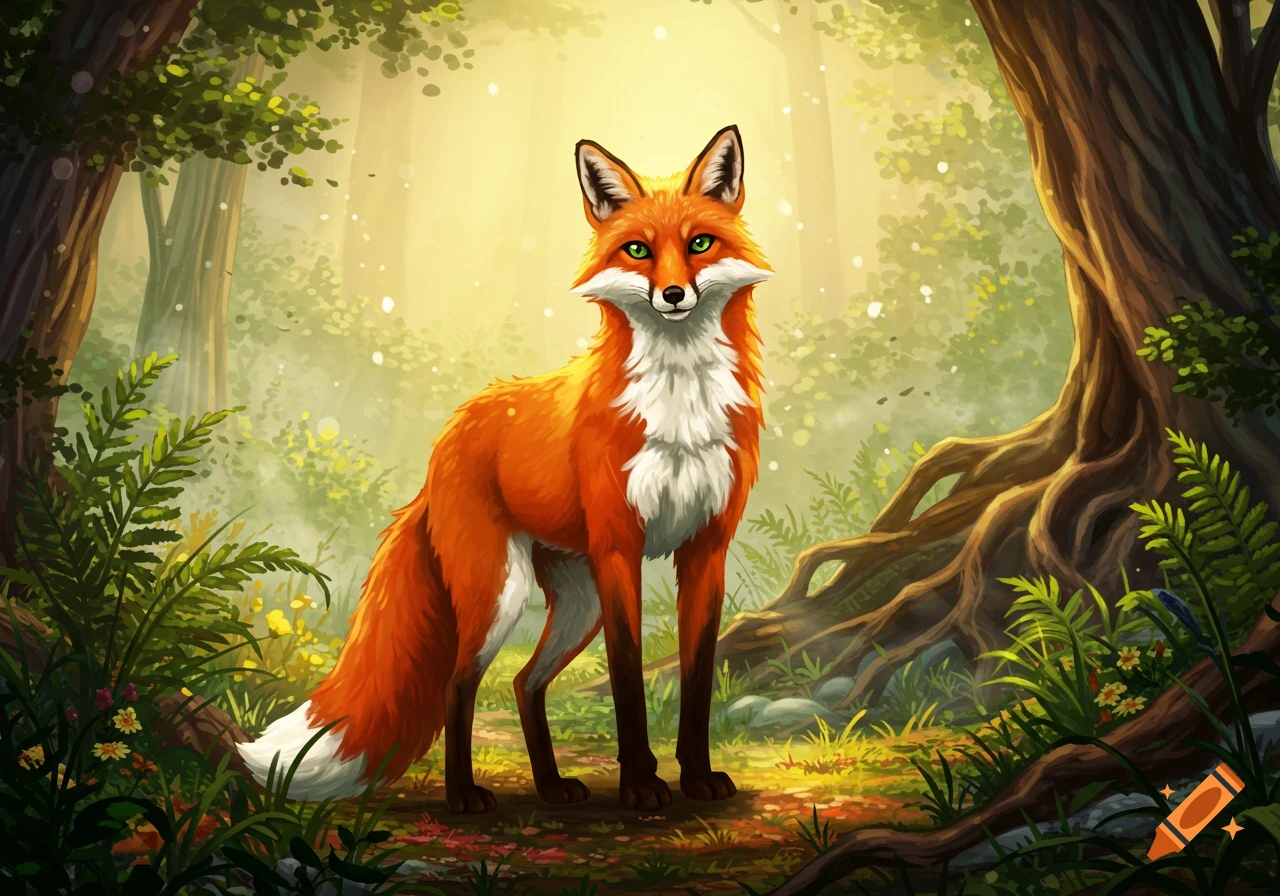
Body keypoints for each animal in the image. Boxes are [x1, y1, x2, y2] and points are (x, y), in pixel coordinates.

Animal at [237, 125, 772, 813]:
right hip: (500, 592)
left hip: (575, 603)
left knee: (524, 683)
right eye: (638, 251)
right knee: (457, 686)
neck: (680, 404)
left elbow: (698, 679)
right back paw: (464, 795)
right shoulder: (619, 547)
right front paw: (638, 785)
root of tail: (449, 434)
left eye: (700, 243)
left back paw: (550, 786)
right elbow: (627, 678)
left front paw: (698, 777)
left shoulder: (706, 549)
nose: (673, 295)